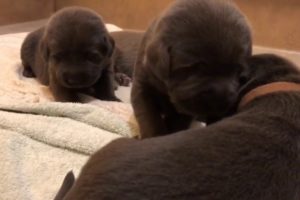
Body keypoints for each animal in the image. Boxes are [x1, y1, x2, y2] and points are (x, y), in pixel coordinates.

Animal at [132, 0, 252, 138]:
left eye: (238, 73)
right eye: (193, 67)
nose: (220, 97)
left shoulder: (185, 109)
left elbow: (178, 121)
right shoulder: (142, 85)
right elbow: (149, 116)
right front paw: (154, 136)